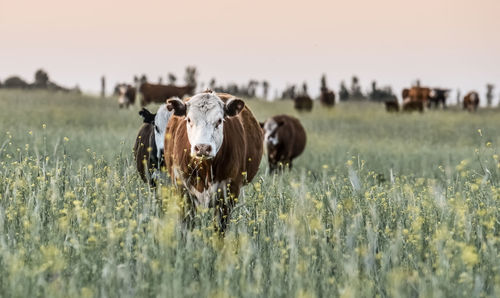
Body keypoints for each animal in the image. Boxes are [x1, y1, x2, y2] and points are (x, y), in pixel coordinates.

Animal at [165, 89, 266, 232]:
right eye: (189, 119)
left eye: (219, 121)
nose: (202, 147)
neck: (206, 168)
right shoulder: (182, 190)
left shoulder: (229, 193)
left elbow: (219, 228)